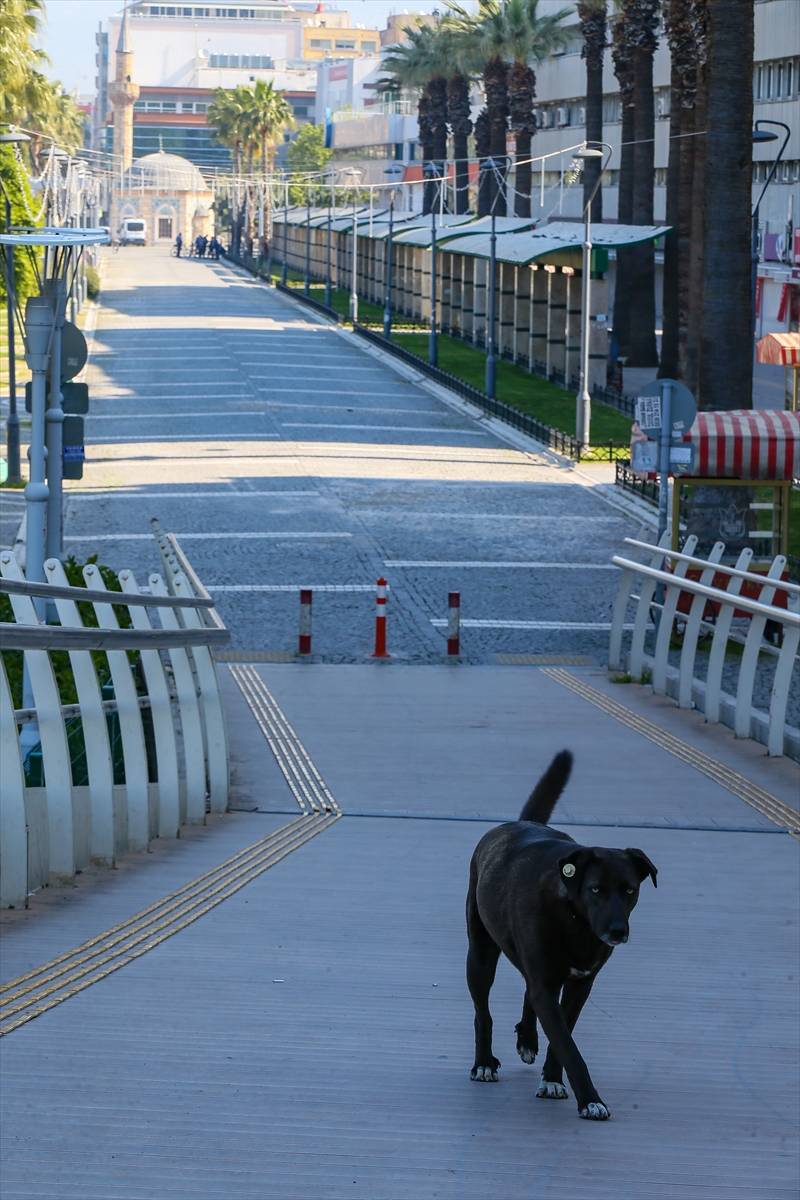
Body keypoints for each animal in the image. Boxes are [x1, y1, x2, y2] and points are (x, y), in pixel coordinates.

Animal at [470, 753, 657, 1118]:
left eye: (630, 890)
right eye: (595, 889)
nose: (618, 931)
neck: (575, 921)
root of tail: (517, 824)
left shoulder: (580, 984)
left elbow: (561, 1036)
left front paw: (553, 1080)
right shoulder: (545, 981)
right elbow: (569, 1046)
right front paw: (591, 1100)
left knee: (527, 994)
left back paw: (527, 1039)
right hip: (480, 953)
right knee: (482, 1012)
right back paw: (483, 1063)